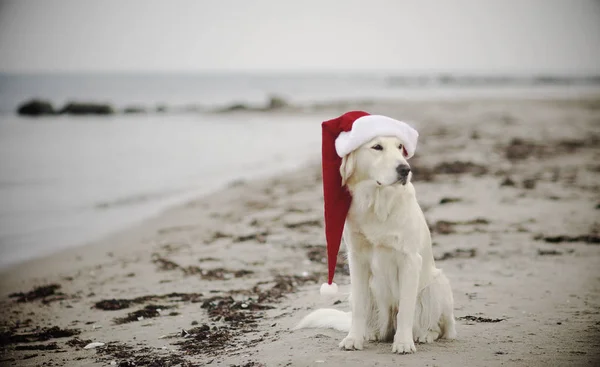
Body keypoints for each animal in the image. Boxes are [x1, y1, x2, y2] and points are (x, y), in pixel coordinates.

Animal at [294, 135, 454, 354]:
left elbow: (406, 309)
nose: (405, 169)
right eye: (377, 147)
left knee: (438, 326)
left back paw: (424, 335)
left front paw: (403, 342)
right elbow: (359, 308)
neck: (377, 201)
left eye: (400, 147)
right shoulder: (356, 259)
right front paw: (353, 339)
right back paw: (371, 334)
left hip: (436, 285)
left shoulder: (410, 260)